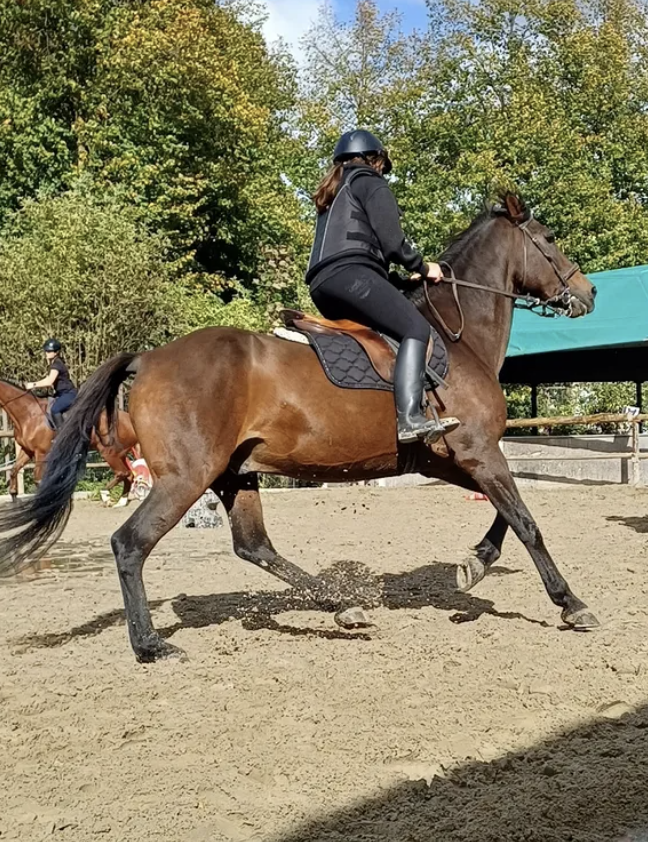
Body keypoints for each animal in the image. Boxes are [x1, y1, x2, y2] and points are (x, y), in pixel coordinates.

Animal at [0, 379, 138, 503]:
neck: (29, 414)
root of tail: (128, 418)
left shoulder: (41, 452)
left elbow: (38, 480)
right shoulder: (27, 450)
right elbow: (14, 469)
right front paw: (13, 494)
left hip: (108, 453)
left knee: (122, 473)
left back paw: (105, 495)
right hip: (120, 454)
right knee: (129, 475)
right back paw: (121, 501)